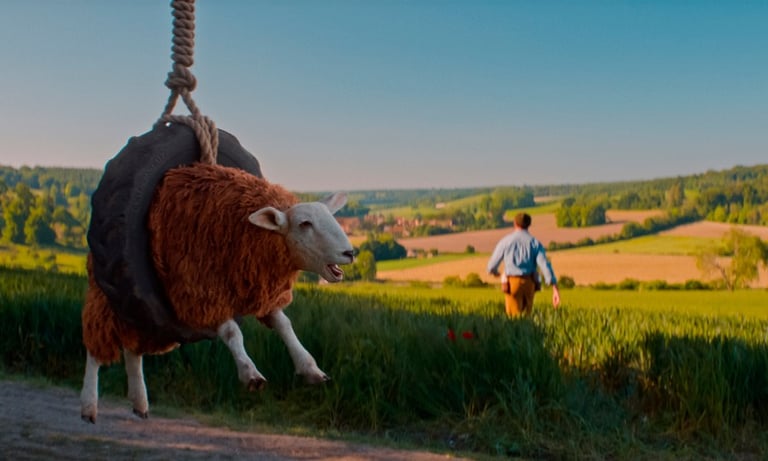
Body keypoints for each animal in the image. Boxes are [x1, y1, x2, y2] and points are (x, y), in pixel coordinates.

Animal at [80, 163, 355, 423]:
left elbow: (285, 326)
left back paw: (139, 401)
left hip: (144, 315)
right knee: (95, 348)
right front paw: (250, 374)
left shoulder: (259, 293)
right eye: (305, 224)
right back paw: (89, 406)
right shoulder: (205, 292)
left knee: (132, 349)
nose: (350, 252)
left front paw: (310, 369)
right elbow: (233, 332)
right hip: (108, 300)